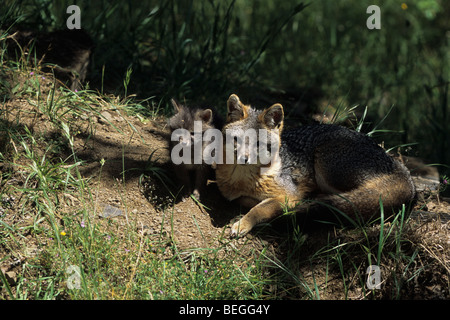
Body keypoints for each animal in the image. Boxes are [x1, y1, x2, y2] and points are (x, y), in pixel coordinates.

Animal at [214, 94, 414, 236]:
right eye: (237, 140)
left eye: (258, 144)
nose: (244, 158)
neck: (243, 181)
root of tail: (397, 164)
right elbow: (247, 200)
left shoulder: (289, 195)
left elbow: (260, 208)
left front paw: (243, 222)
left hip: (326, 167)